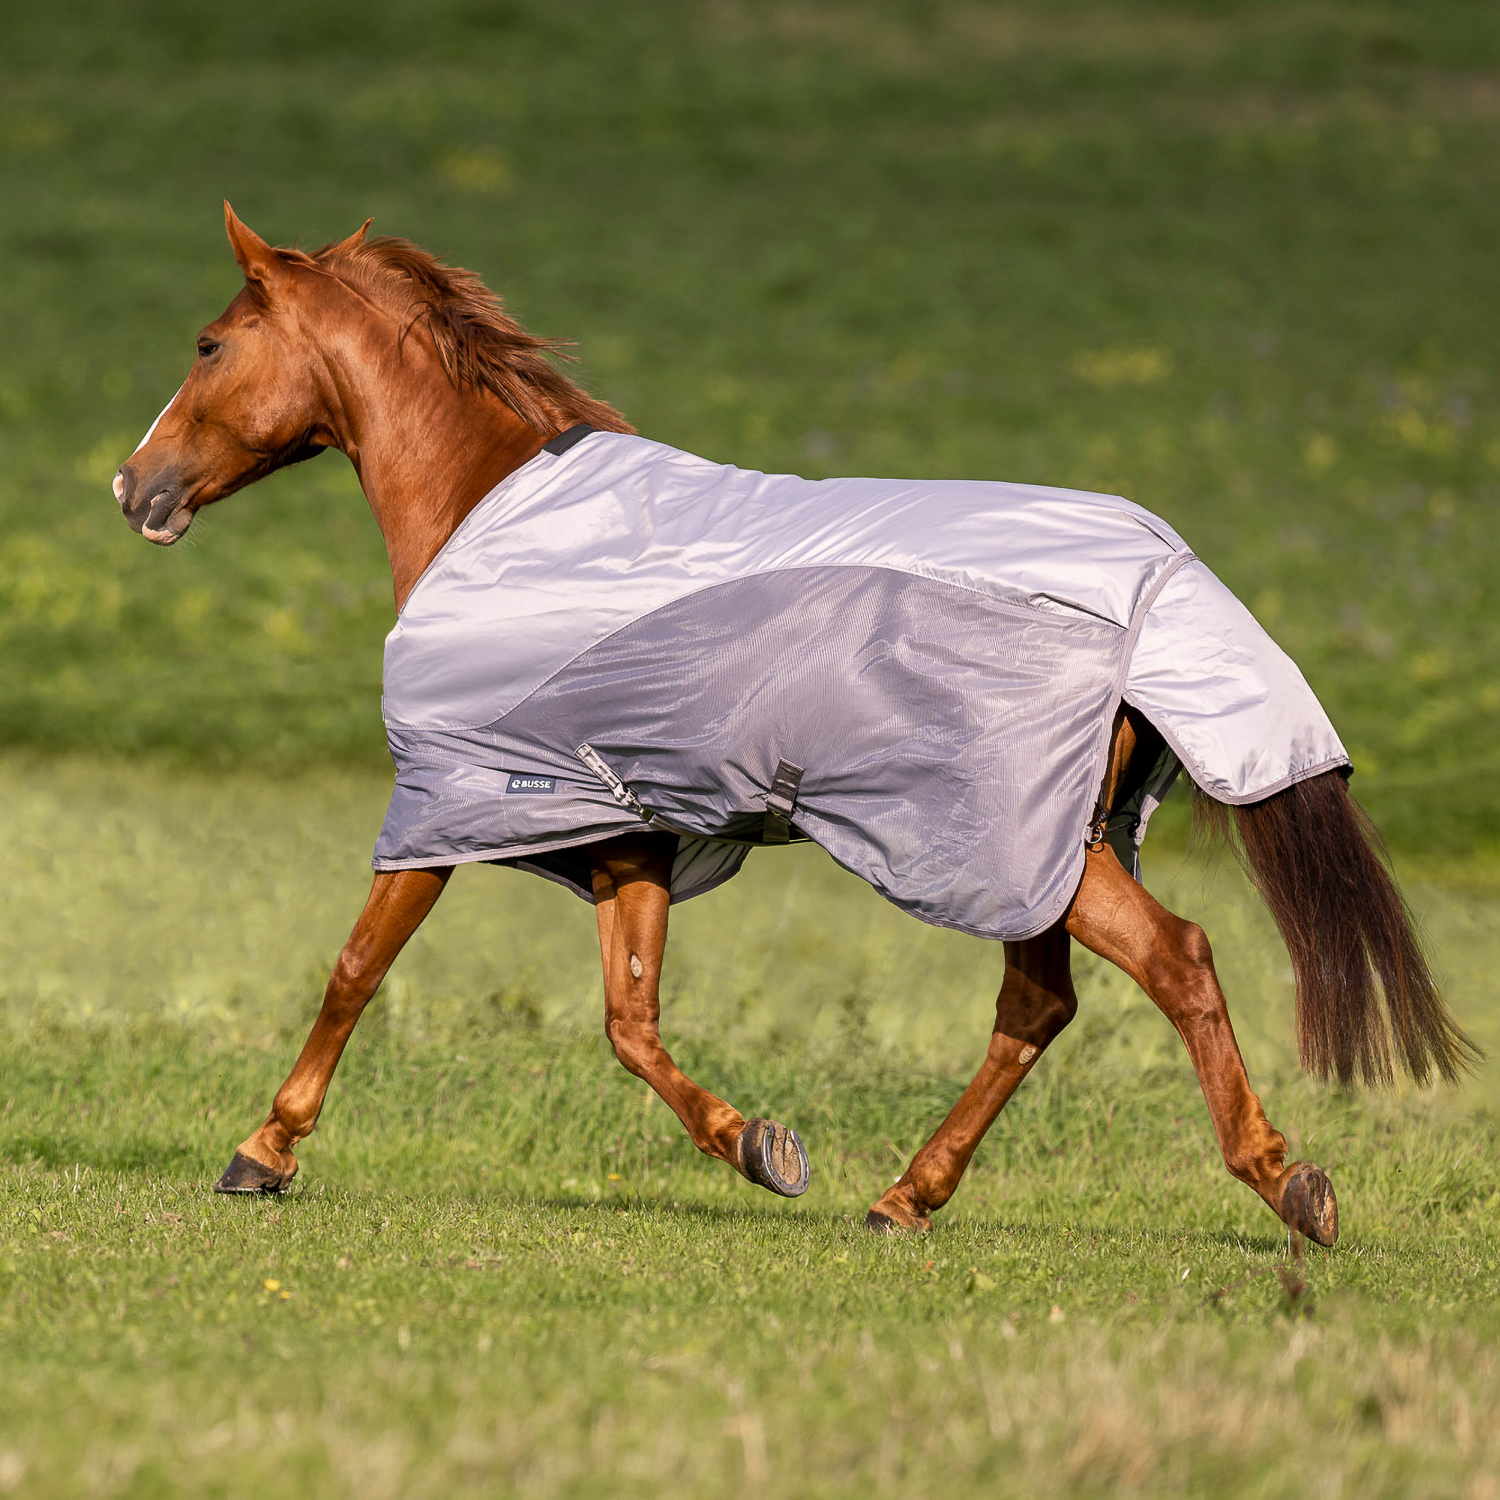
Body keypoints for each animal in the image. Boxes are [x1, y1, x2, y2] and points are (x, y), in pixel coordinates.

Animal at [114, 205, 1476, 1248]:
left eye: (209, 342)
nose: (133, 487)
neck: (489, 513)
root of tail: (1154, 590)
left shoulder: (453, 802)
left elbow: (355, 969)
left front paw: (263, 1150)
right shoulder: (626, 827)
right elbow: (630, 1022)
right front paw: (760, 1144)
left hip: (1014, 850)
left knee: (1177, 963)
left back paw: (1288, 1184)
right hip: (1039, 857)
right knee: (1038, 1008)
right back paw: (904, 1199)